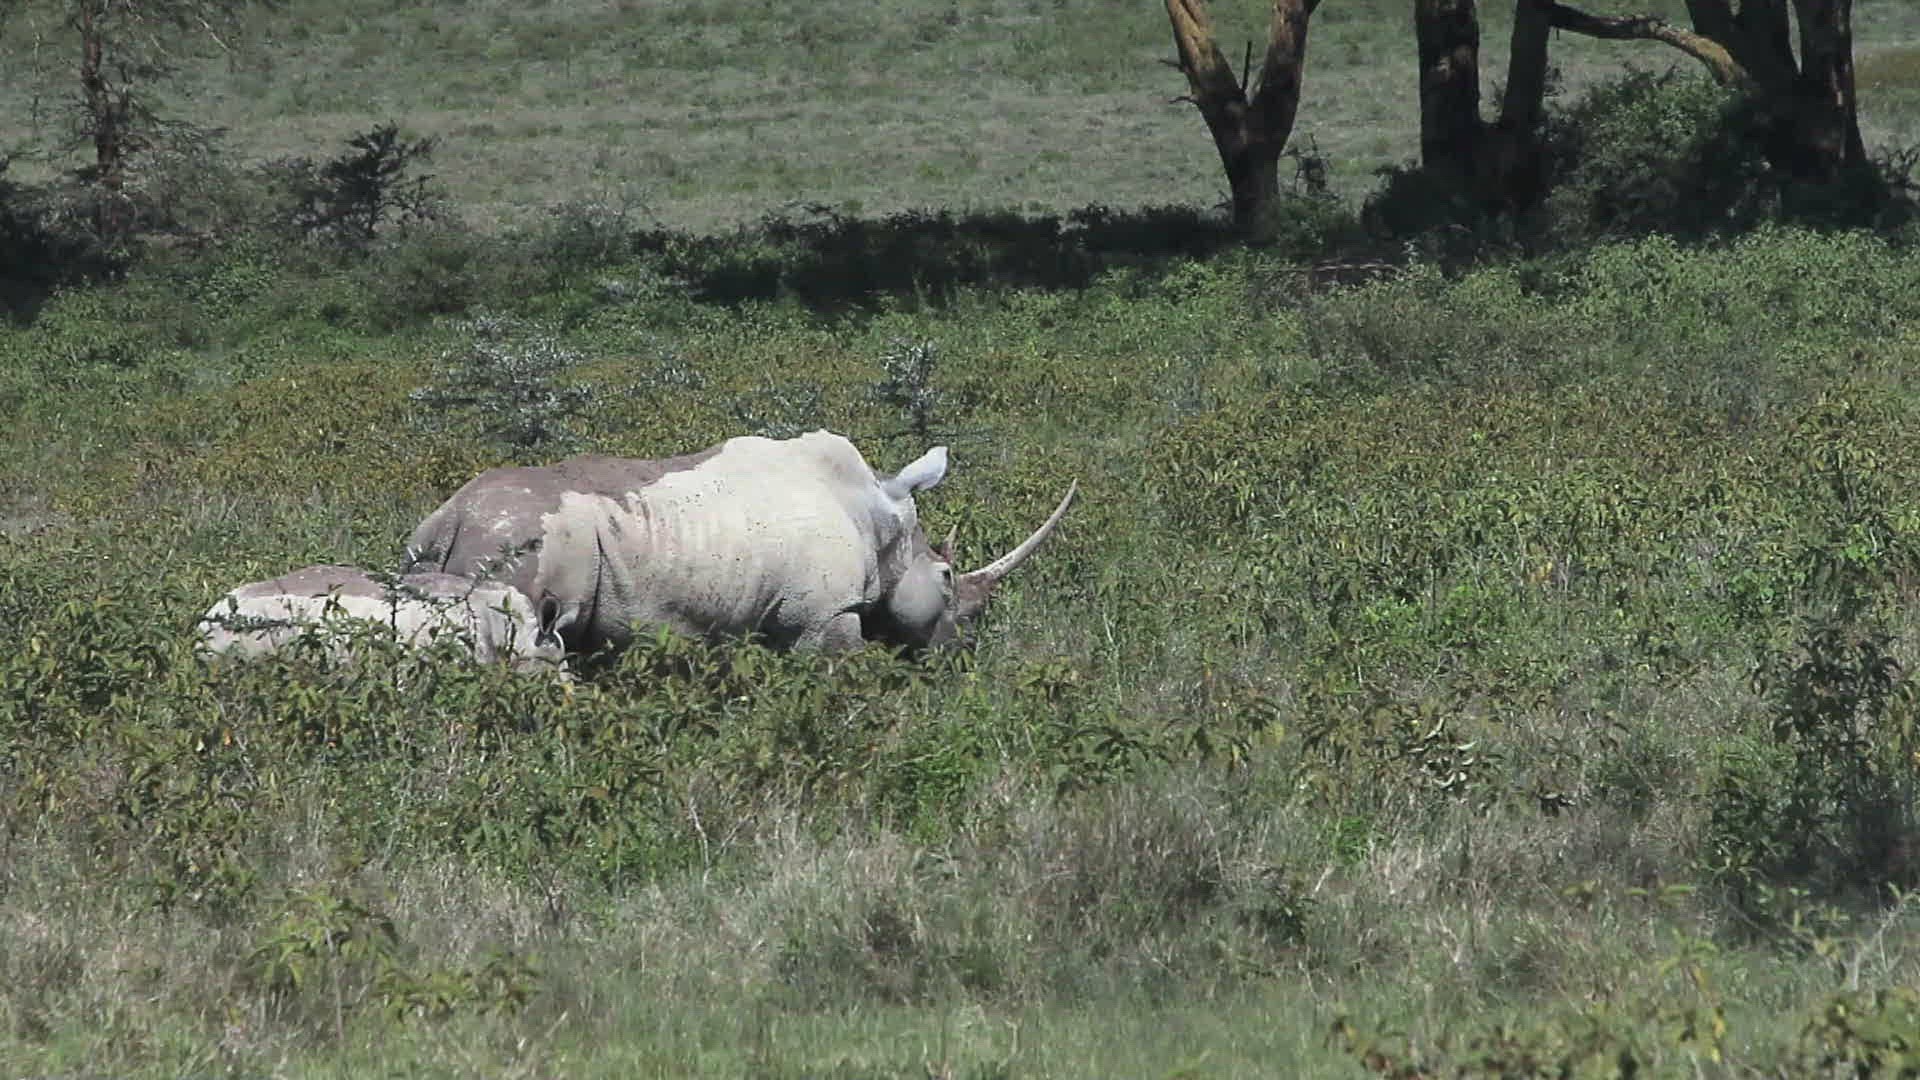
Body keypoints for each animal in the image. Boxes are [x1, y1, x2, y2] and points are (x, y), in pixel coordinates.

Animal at [401, 430, 1075, 655]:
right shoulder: (824, 615)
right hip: (520, 543)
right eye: (947, 580)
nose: (959, 653)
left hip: (467, 540)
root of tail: (448, 518)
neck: (885, 526)